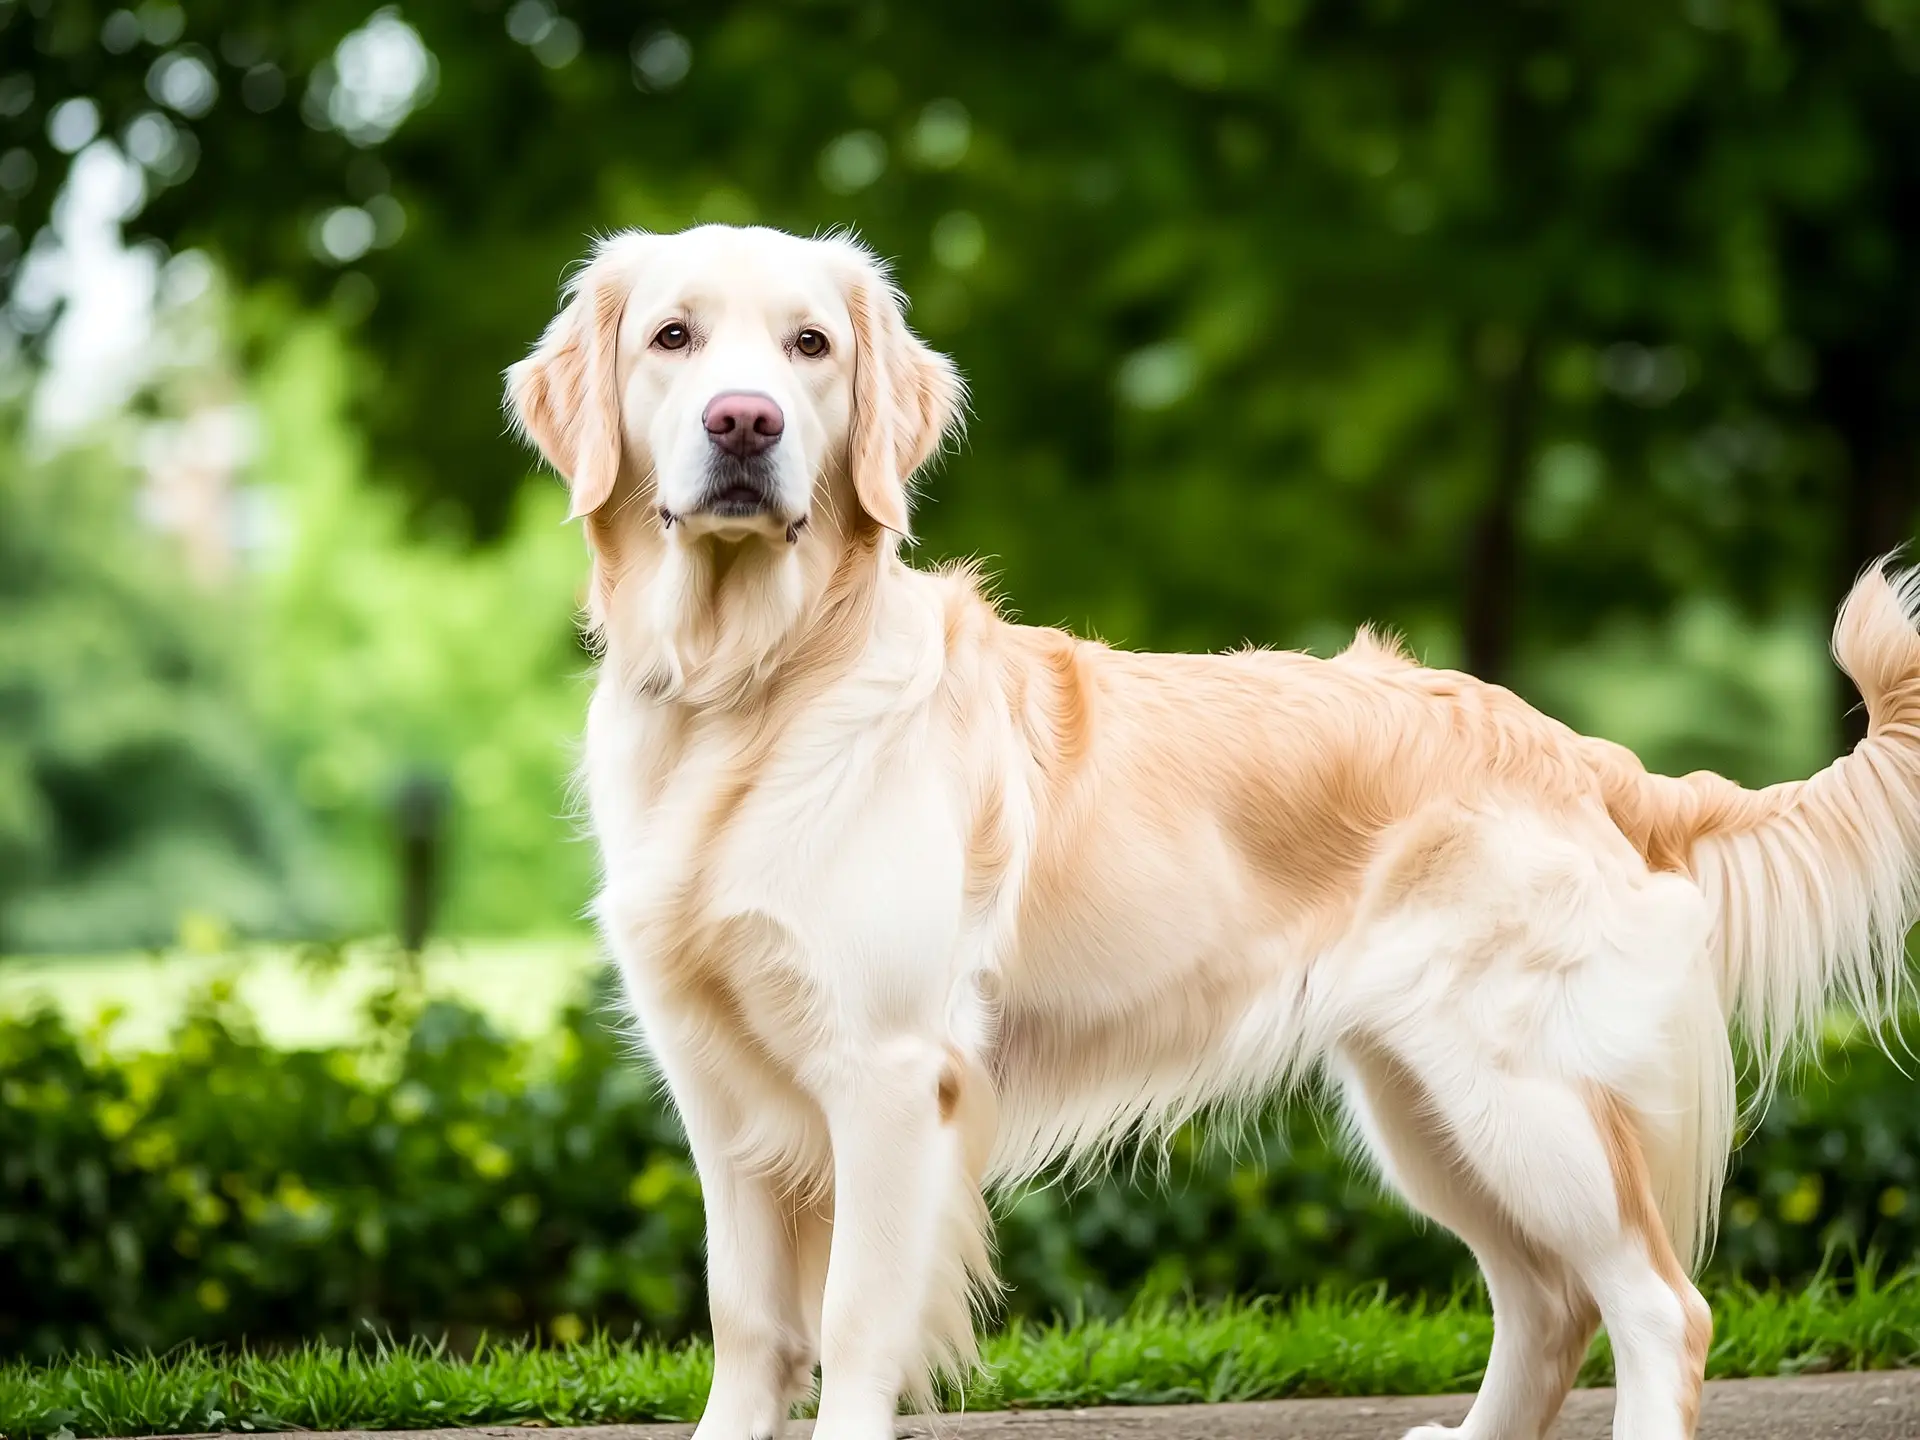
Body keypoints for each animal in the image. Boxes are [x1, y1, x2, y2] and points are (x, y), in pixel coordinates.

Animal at [506, 225, 1920, 1440]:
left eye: (811, 346)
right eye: (674, 337)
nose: (743, 423)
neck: (754, 689)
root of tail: (1575, 751)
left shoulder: (890, 1076)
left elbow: (853, 1323)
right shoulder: (715, 1085)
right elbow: (746, 1320)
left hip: (1521, 1098)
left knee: (1658, 1307)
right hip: (1423, 1108)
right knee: (1548, 1302)